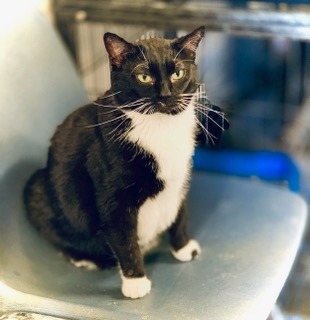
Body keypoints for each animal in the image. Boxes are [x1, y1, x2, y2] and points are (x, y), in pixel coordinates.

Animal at [24, 26, 208, 298]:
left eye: (178, 73)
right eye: (143, 77)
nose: (165, 95)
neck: (160, 129)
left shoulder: (181, 177)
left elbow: (180, 214)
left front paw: (183, 248)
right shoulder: (112, 197)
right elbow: (123, 237)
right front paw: (135, 282)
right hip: (37, 188)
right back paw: (86, 259)